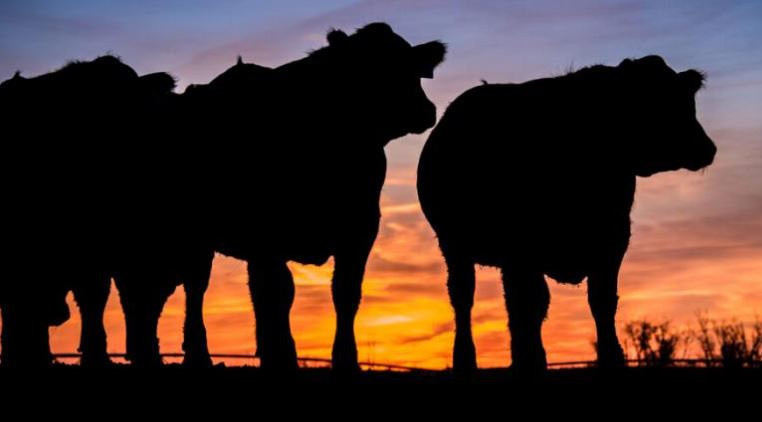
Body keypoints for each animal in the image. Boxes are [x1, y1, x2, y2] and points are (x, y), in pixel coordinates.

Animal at [417, 55, 716, 375]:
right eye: (661, 100)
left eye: (685, 99)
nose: (707, 148)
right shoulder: (521, 250)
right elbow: (531, 305)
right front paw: (531, 361)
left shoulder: (613, 239)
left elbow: (602, 302)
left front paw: (611, 358)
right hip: (454, 246)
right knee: (464, 298)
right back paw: (466, 360)